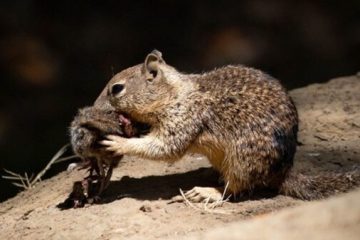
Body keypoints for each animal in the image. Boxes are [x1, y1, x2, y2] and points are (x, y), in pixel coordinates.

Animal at [95, 50, 358, 201]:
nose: (95, 107)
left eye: (116, 89)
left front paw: (118, 142)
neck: (174, 94)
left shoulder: (183, 118)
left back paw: (206, 192)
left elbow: (165, 147)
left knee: (235, 190)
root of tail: (283, 171)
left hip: (243, 161)